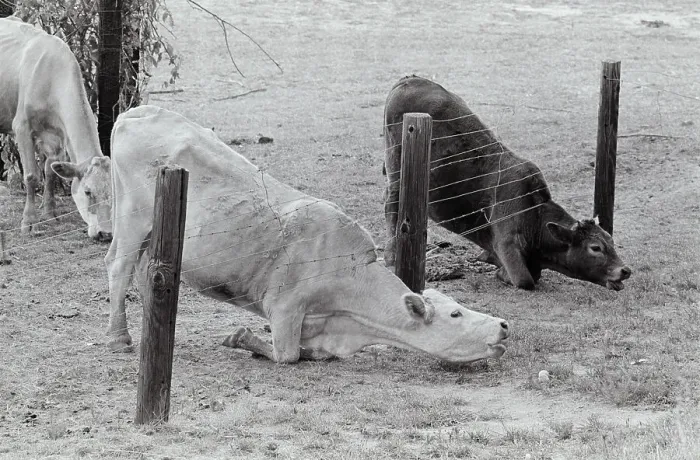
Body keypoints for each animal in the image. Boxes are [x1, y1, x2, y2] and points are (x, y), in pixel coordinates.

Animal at [0, 16, 112, 240]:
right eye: (87, 191)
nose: (106, 233)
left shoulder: (57, 136)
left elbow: (50, 172)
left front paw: (50, 214)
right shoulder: (22, 127)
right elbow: (31, 175)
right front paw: (29, 222)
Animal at [101, 105, 509, 364]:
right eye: (455, 314)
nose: (504, 324)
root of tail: (136, 111)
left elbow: (313, 353)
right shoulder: (284, 308)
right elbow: (288, 354)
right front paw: (241, 339)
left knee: (144, 272)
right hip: (132, 220)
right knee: (119, 266)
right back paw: (119, 337)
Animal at [383, 76, 631, 291]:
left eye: (610, 241)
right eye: (595, 248)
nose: (625, 270)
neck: (532, 213)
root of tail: (409, 79)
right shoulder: (507, 245)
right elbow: (526, 280)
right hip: (396, 172)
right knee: (392, 210)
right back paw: (391, 257)